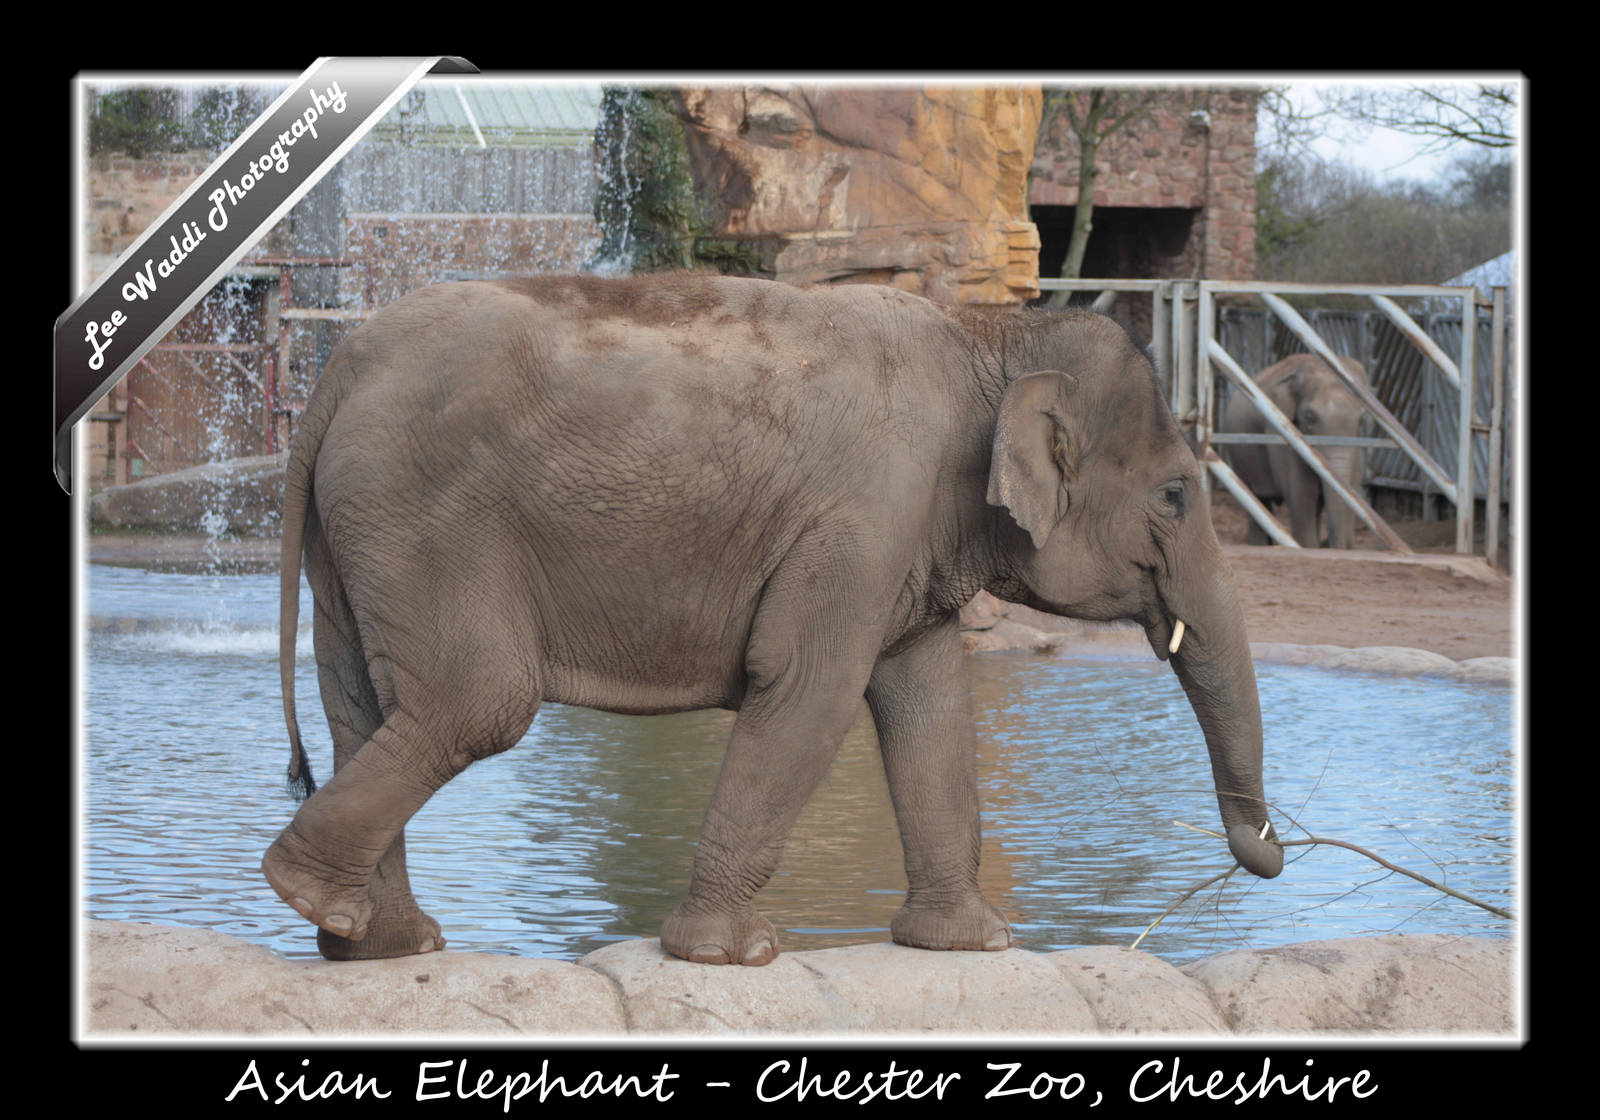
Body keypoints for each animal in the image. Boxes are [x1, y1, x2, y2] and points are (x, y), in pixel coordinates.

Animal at [266, 273, 1283, 966]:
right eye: (1176, 496)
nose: (1268, 860)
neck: (989, 331)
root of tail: (339, 369)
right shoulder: (865, 515)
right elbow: (809, 688)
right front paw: (733, 956)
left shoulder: (907, 538)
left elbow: (929, 706)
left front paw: (971, 945)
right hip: (424, 516)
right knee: (477, 700)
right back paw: (318, 900)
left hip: (355, 533)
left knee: (362, 703)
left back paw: (375, 942)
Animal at [1221, 352, 1370, 549]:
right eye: (1310, 417)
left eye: (1362, 420)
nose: (1328, 542)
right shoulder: (1281, 432)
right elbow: (1302, 495)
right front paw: (1310, 548)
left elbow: (1352, 489)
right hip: (1239, 457)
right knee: (1256, 499)